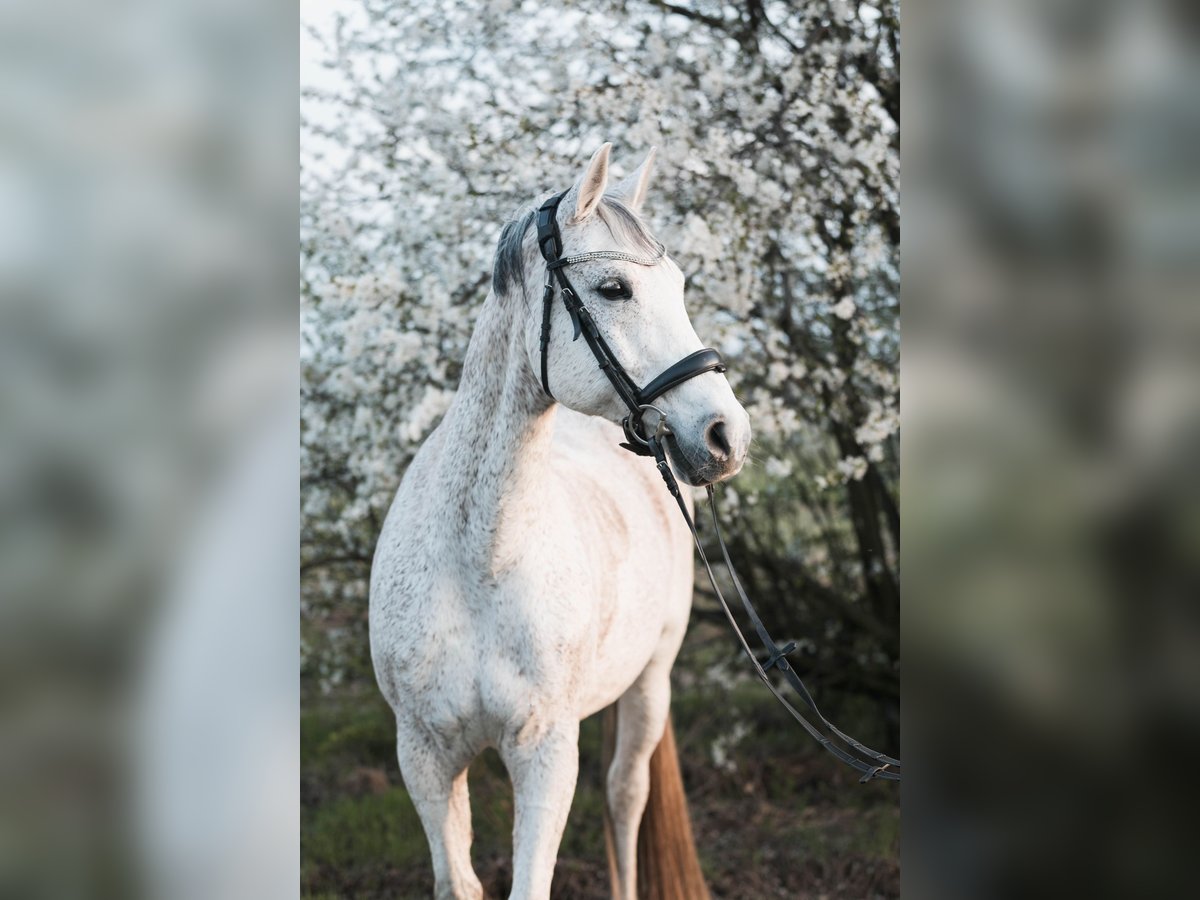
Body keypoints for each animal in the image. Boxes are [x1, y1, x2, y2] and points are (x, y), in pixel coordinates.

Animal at [369, 144, 748, 897]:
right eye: (614, 289)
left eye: (680, 285)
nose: (726, 434)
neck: (477, 561)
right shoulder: (424, 758)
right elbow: (459, 882)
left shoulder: (545, 754)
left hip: (652, 680)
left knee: (626, 795)